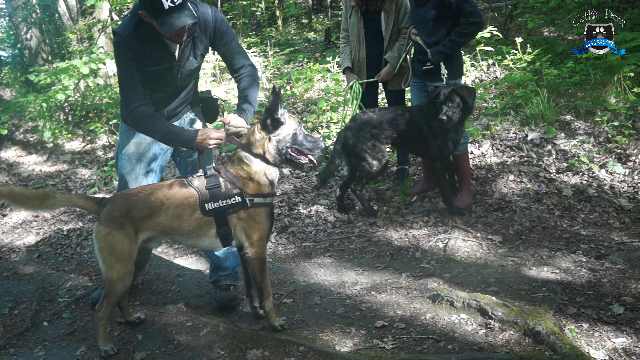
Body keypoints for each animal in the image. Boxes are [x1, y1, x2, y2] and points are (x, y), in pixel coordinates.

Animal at [0, 86, 324, 358]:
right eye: (300, 130)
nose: (323, 143)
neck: (253, 166)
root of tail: (106, 202)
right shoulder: (257, 250)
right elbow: (267, 292)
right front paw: (274, 322)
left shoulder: (246, 252)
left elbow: (252, 290)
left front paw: (257, 314)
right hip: (120, 270)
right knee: (102, 309)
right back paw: (105, 346)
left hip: (135, 262)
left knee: (122, 298)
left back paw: (131, 319)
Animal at [318, 84, 476, 217]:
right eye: (439, 103)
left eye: (452, 103)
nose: (441, 119)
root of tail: (347, 127)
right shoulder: (437, 161)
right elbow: (445, 189)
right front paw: (453, 210)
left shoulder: (446, 157)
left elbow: (452, 175)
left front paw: (455, 192)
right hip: (377, 163)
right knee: (355, 187)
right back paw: (370, 211)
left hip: (355, 167)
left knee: (340, 188)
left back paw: (343, 209)